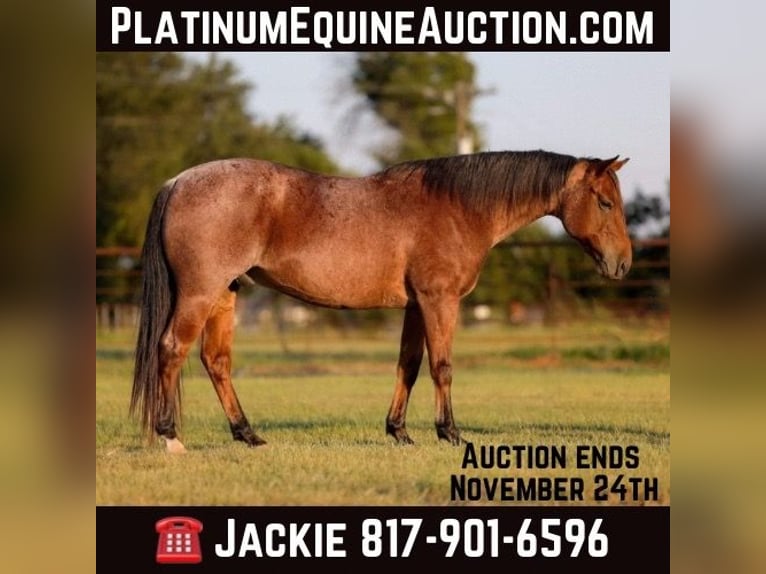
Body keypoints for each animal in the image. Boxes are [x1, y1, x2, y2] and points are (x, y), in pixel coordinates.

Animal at [130, 150, 631, 453]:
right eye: (605, 203)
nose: (623, 264)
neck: (459, 208)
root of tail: (178, 182)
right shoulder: (438, 301)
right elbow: (442, 366)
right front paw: (450, 433)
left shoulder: (415, 306)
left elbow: (408, 366)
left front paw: (400, 432)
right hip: (199, 293)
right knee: (171, 350)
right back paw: (170, 437)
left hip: (224, 295)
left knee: (216, 361)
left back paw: (248, 435)